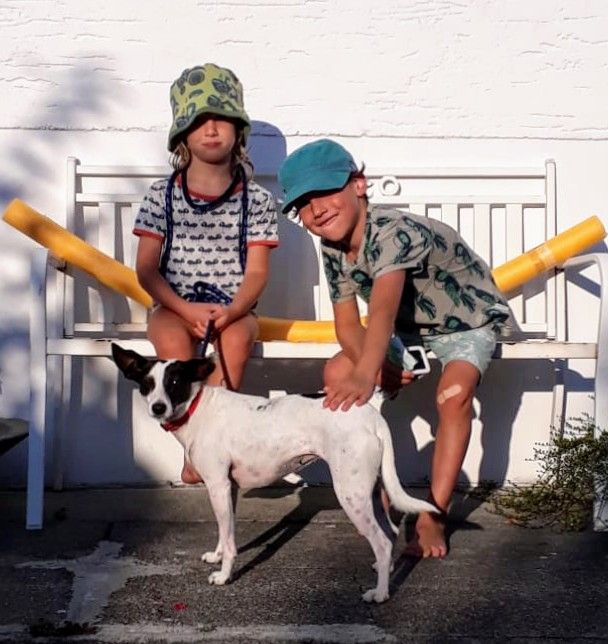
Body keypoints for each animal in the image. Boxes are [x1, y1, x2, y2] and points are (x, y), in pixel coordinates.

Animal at [111, 343, 437, 603]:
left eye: (175, 381)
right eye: (146, 383)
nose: (157, 407)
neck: (196, 408)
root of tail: (371, 413)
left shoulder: (217, 485)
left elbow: (230, 541)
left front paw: (224, 575)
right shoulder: (227, 489)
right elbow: (224, 532)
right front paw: (217, 555)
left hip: (351, 494)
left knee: (382, 542)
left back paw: (380, 593)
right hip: (370, 491)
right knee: (390, 532)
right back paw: (384, 571)